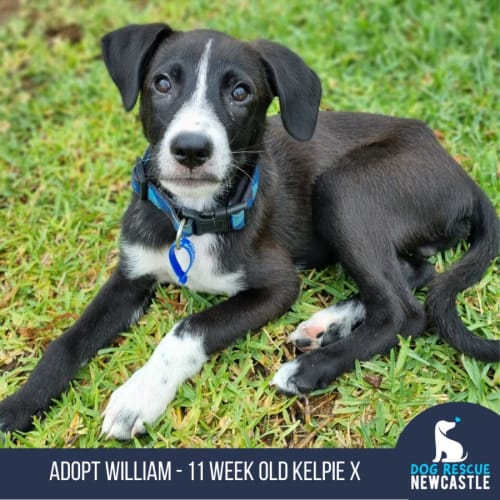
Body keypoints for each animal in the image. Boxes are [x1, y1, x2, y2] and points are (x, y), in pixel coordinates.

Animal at [0, 24, 500, 438]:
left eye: (241, 92)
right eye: (162, 83)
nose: (191, 150)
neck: (193, 218)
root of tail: (459, 170)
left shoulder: (277, 286)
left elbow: (189, 327)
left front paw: (138, 396)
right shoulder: (131, 274)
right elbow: (67, 342)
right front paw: (18, 405)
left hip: (343, 189)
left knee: (405, 311)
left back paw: (308, 369)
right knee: (415, 272)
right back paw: (327, 324)